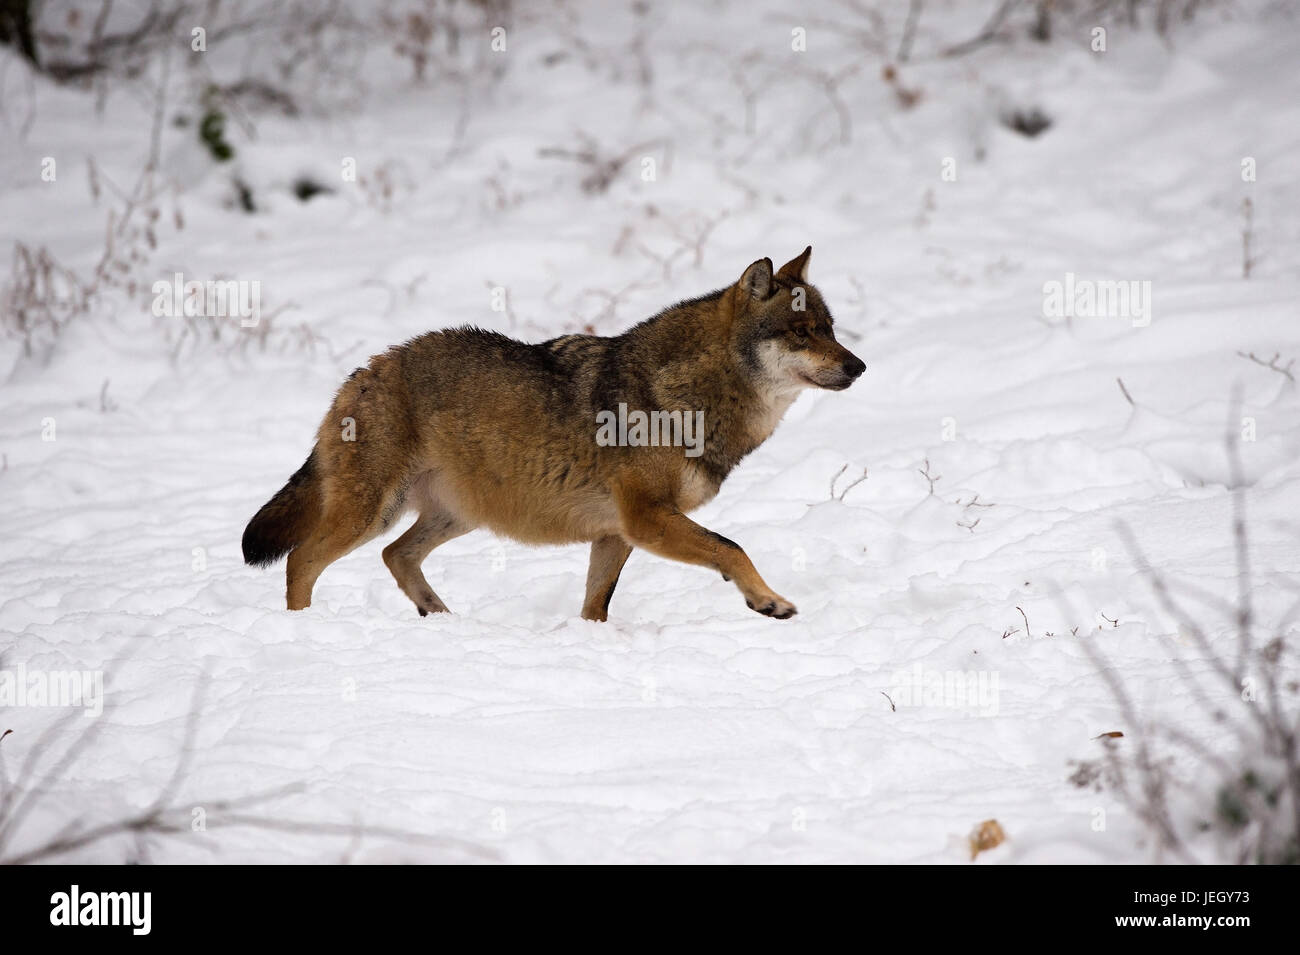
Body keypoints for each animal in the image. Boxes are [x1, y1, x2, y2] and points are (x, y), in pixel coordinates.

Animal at [244, 246, 868, 621]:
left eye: (831, 329)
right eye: (801, 332)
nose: (859, 366)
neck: (686, 395)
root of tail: (364, 370)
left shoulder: (617, 533)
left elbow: (597, 604)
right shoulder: (647, 520)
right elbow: (732, 548)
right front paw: (769, 601)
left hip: (454, 515)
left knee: (396, 556)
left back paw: (442, 620)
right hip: (375, 512)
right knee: (302, 561)